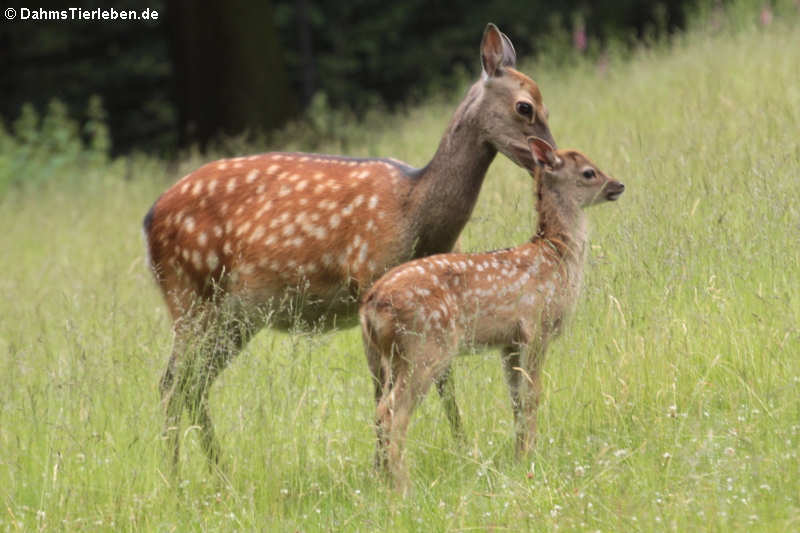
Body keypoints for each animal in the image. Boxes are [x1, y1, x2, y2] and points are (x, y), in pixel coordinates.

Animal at [144, 22, 556, 468]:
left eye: (545, 106)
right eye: (525, 107)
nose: (549, 157)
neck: (416, 214)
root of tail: (149, 221)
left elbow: (444, 379)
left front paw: (461, 447)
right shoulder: (368, 279)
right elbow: (382, 386)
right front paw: (381, 465)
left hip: (236, 316)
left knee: (194, 383)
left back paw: (216, 471)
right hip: (190, 298)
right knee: (171, 382)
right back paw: (176, 475)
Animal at [360, 138, 624, 490]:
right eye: (589, 172)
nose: (618, 185)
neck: (556, 256)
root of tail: (371, 304)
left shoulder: (508, 341)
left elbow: (515, 399)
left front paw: (518, 456)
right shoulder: (536, 327)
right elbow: (533, 394)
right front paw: (531, 455)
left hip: (383, 357)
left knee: (379, 408)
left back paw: (386, 479)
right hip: (425, 347)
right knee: (391, 411)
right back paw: (403, 485)